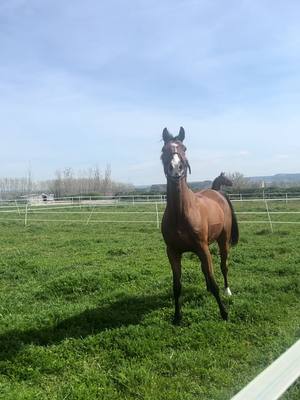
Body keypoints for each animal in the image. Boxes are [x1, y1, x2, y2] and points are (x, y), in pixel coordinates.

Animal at [161, 126, 238, 324]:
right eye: (164, 150)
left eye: (184, 148)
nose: (176, 169)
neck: (182, 213)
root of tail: (218, 194)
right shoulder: (173, 252)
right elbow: (177, 286)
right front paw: (177, 317)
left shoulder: (202, 248)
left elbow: (214, 280)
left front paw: (224, 313)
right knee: (206, 270)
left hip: (222, 241)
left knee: (223, 266)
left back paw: (228, 290)